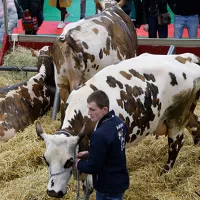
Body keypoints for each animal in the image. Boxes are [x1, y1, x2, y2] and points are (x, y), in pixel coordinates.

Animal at [35, 53, 200, 198]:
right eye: (46, 160)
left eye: (68, 161)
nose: (53, 192)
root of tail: (184, 58)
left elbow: (89, 185)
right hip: (186, 114)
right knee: (196, 126)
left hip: (176, 118)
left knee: (176, 144)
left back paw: (165, 171)